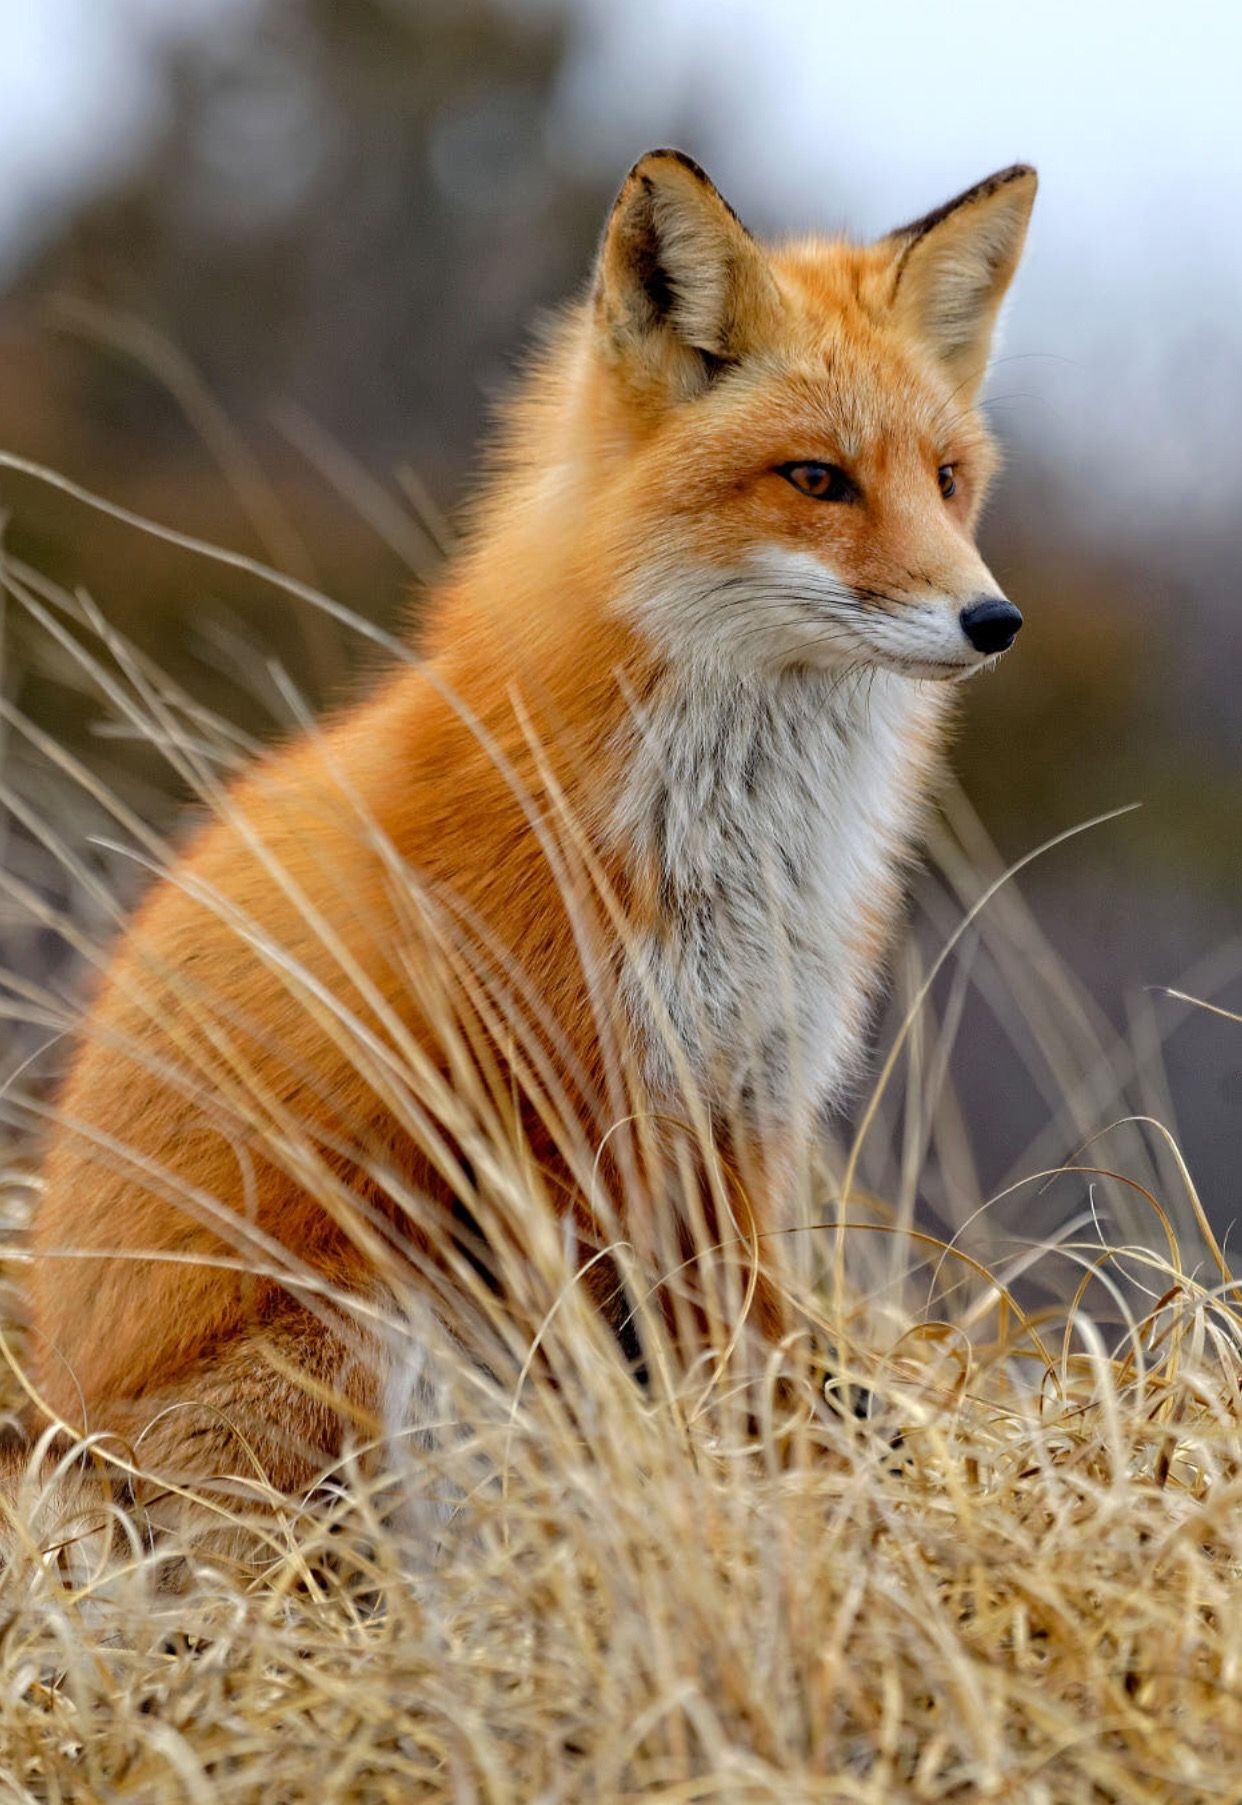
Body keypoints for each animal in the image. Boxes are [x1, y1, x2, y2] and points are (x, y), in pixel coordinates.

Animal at [20, 150, 1036, 1511]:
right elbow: (664, 1372)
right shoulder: (571, 1123)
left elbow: (763, 1357)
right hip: (365, 1330)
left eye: (946, 479)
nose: (994, 620)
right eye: (818, 478)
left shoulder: (742, 1105)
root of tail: (55, 1444)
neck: (738, 855)